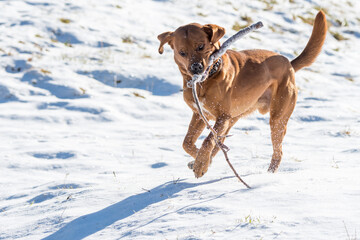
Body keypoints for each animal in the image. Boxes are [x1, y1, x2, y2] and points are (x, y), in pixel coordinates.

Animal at [158, 11, 326, 177]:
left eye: (201, 46)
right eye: (182, 53)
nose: (196, 68)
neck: (206, 80)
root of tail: (289, 64)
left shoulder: (222, 117)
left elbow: (208, 140)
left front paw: (200, 164)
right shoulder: (201, 115)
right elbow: (187, 142)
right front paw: (201, 160)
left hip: (277, 118)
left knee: (278, 152)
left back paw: (269, 174)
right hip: (235, 118)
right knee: (220, 143)